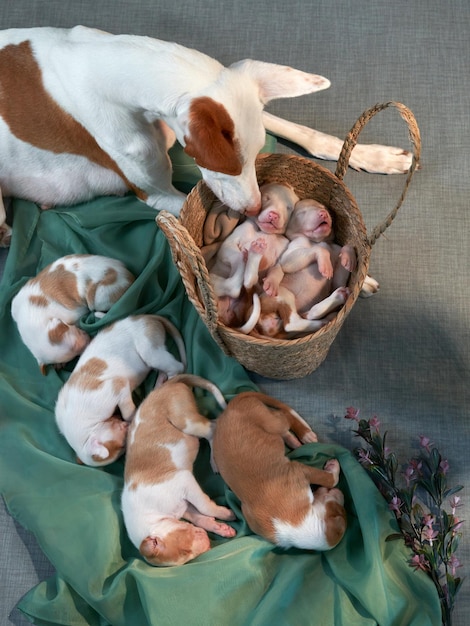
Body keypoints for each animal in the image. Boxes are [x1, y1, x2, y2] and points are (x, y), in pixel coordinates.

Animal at [0, 26, 412, 245]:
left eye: (256, 155)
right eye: (226, 165)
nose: (254, 207)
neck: (113, 65)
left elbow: (302, 131)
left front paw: (373, 155)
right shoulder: (154, 194)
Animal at [56, 314, 186, 466]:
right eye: (122, 448)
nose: (130, 428)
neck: (89, 427)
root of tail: (149, 316)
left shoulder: (118, 387)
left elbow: (127, 413)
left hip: (150, 352)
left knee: (177, 366)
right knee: (163, 371)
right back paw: (158, 384)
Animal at [123, 372, 237, 568]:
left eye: (185, 551)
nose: (208, 544)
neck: (153, 516)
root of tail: (171, 383)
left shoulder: (185, 482)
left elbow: (206, 507)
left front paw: (226, 513)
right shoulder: (185, 507)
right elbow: (201, 517)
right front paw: (220, 527)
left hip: (186, 421)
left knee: (212, 428)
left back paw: (214, 460)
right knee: (214, 425)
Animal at [211, 392, 346, 548]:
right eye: (341, 510)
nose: (342, 493)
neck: (295, 525)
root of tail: (231, 405)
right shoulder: (300, 470)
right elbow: (330, 479)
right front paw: (334, 467)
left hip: (271, 422)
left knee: (282, 414)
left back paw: (300, 437)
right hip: (273, 423)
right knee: (283, 413)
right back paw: (302, 435)